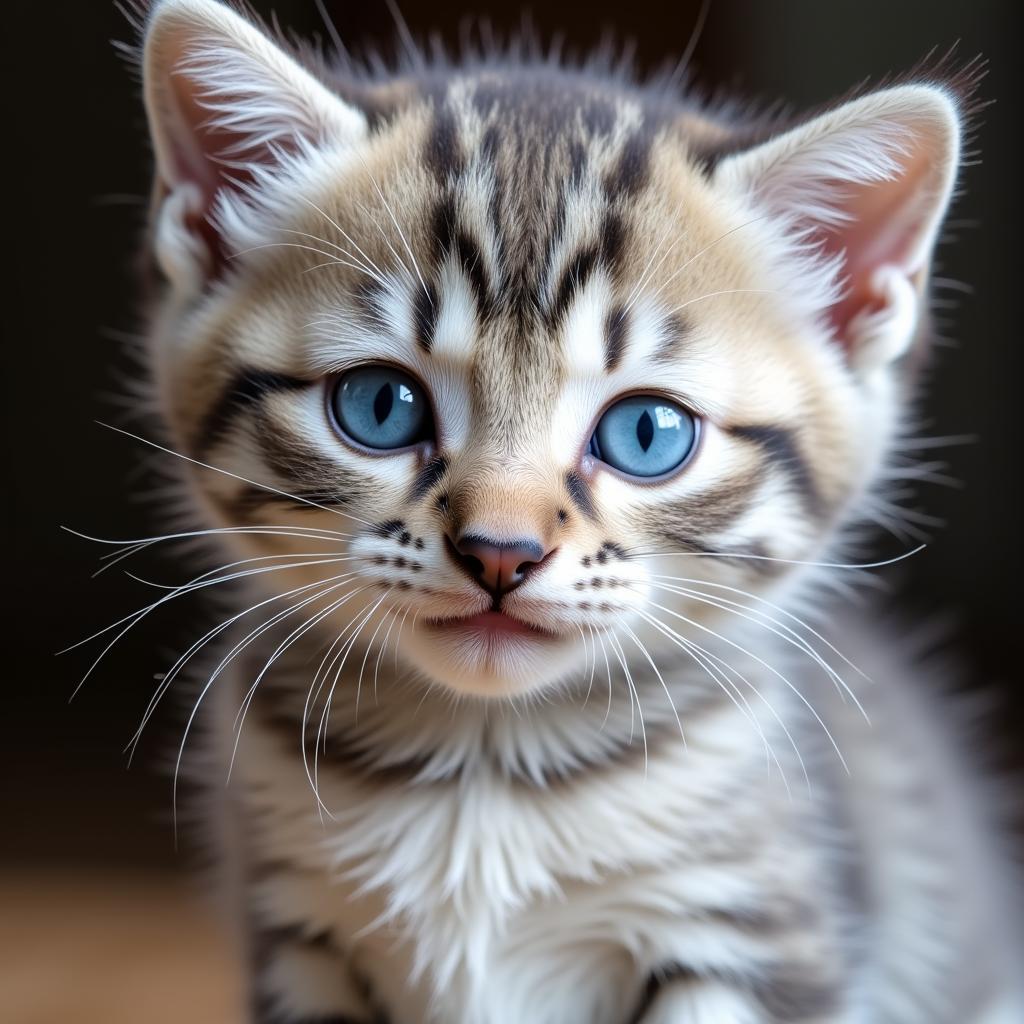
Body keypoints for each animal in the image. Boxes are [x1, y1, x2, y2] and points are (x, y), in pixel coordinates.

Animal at [114, 2, 1024, 1024]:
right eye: (379, 406)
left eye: (647, 433)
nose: (499, 551)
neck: (483, 768)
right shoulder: (300, 936)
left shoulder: (749, 935)